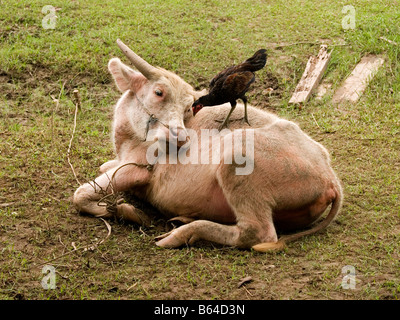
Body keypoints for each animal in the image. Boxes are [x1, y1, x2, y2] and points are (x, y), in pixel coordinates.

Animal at [74, 40, 344, 251]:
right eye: (159, 92)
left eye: (187, 107)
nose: (181, 137)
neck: (129, 139)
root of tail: (331, 180)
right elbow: (101, 169)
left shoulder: (137, 170)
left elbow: (80, 195)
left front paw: (128, 212)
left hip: (236, 163)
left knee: (257, 233)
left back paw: (180, 234)